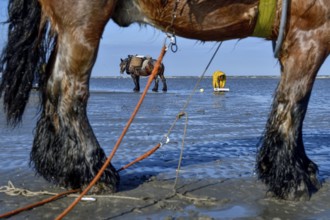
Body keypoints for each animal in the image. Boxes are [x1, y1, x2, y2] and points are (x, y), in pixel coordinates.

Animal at [0, 0, 328, 199]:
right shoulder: (309, 34)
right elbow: (295, 103)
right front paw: (291, 176)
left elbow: (294, 103)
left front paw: (299, 167)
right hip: (82, 23)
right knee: (68, 90)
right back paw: (92, 170)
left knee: (51, 85)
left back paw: (62, 167)